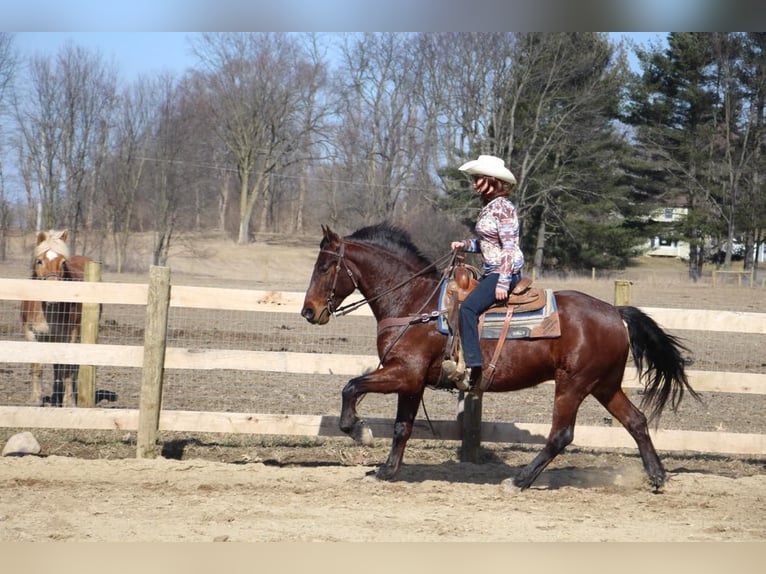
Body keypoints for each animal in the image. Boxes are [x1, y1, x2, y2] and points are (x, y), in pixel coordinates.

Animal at [20, 230, 94, 410]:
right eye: (39, 261)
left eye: (63, 262)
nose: (54, 292)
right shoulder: (31, 333)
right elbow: (36, 366)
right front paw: (35, 400)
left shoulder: (70, 335)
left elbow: (67, 368)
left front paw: (68, 402)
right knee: (57, 367)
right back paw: (55, 397)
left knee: (71, 368)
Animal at [302, 223, 704, 492]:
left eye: (324, 267)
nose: (309, 311)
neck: (415, 303)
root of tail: (614, 311)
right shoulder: (412, 382)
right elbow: (402, 427)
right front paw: (386, 471)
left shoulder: (403, 372)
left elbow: (351, 387)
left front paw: (359, 431)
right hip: (604, 385)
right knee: (636, 421)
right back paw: (657, 477)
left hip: (573, 385)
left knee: (561, 435)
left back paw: (520, 479)